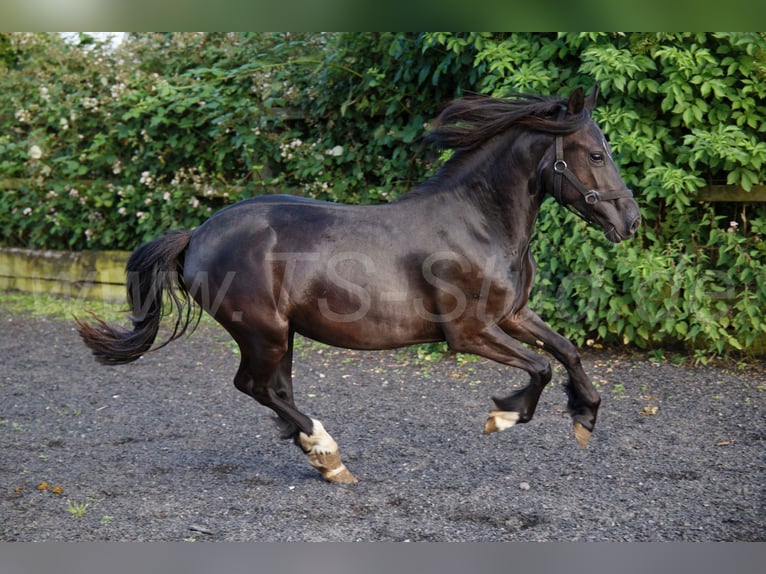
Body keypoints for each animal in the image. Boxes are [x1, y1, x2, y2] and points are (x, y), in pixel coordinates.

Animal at [76, 85, 641, 483]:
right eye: (595, 155)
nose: (631, 220)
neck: (477, 223)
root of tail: (197, 235)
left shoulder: (512, 315)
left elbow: (566, 350)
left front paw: (585, 416)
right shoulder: (468, 333)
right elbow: (540, 368)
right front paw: (503, 416)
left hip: (282, 334)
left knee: (275, 389)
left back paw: (319, 456)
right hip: (262, 332)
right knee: (254, 386)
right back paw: (326, 450)